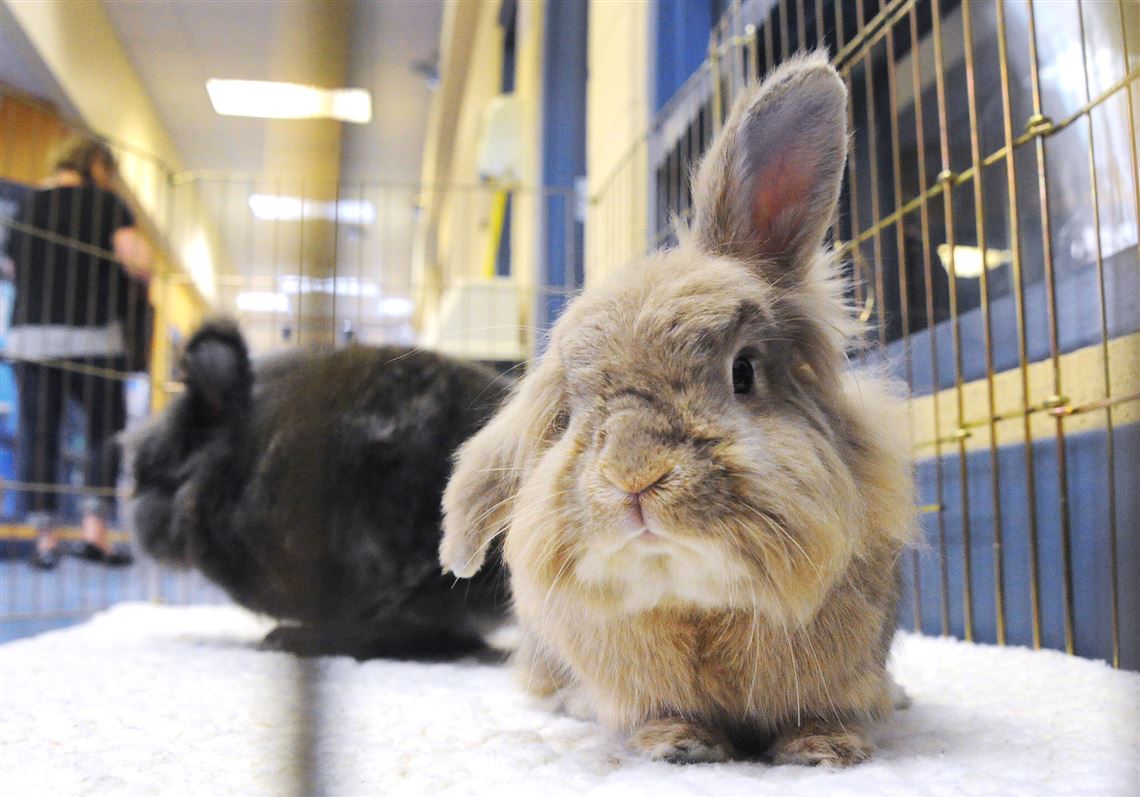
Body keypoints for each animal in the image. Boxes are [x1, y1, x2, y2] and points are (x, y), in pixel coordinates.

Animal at [439, 52, 916, 766]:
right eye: (573, 410)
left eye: (743, 373)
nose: (636, 475)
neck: (698, 607)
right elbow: (662, 715)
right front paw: (677, 746)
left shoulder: (839, 675)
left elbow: (826, 712)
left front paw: (823, 751)